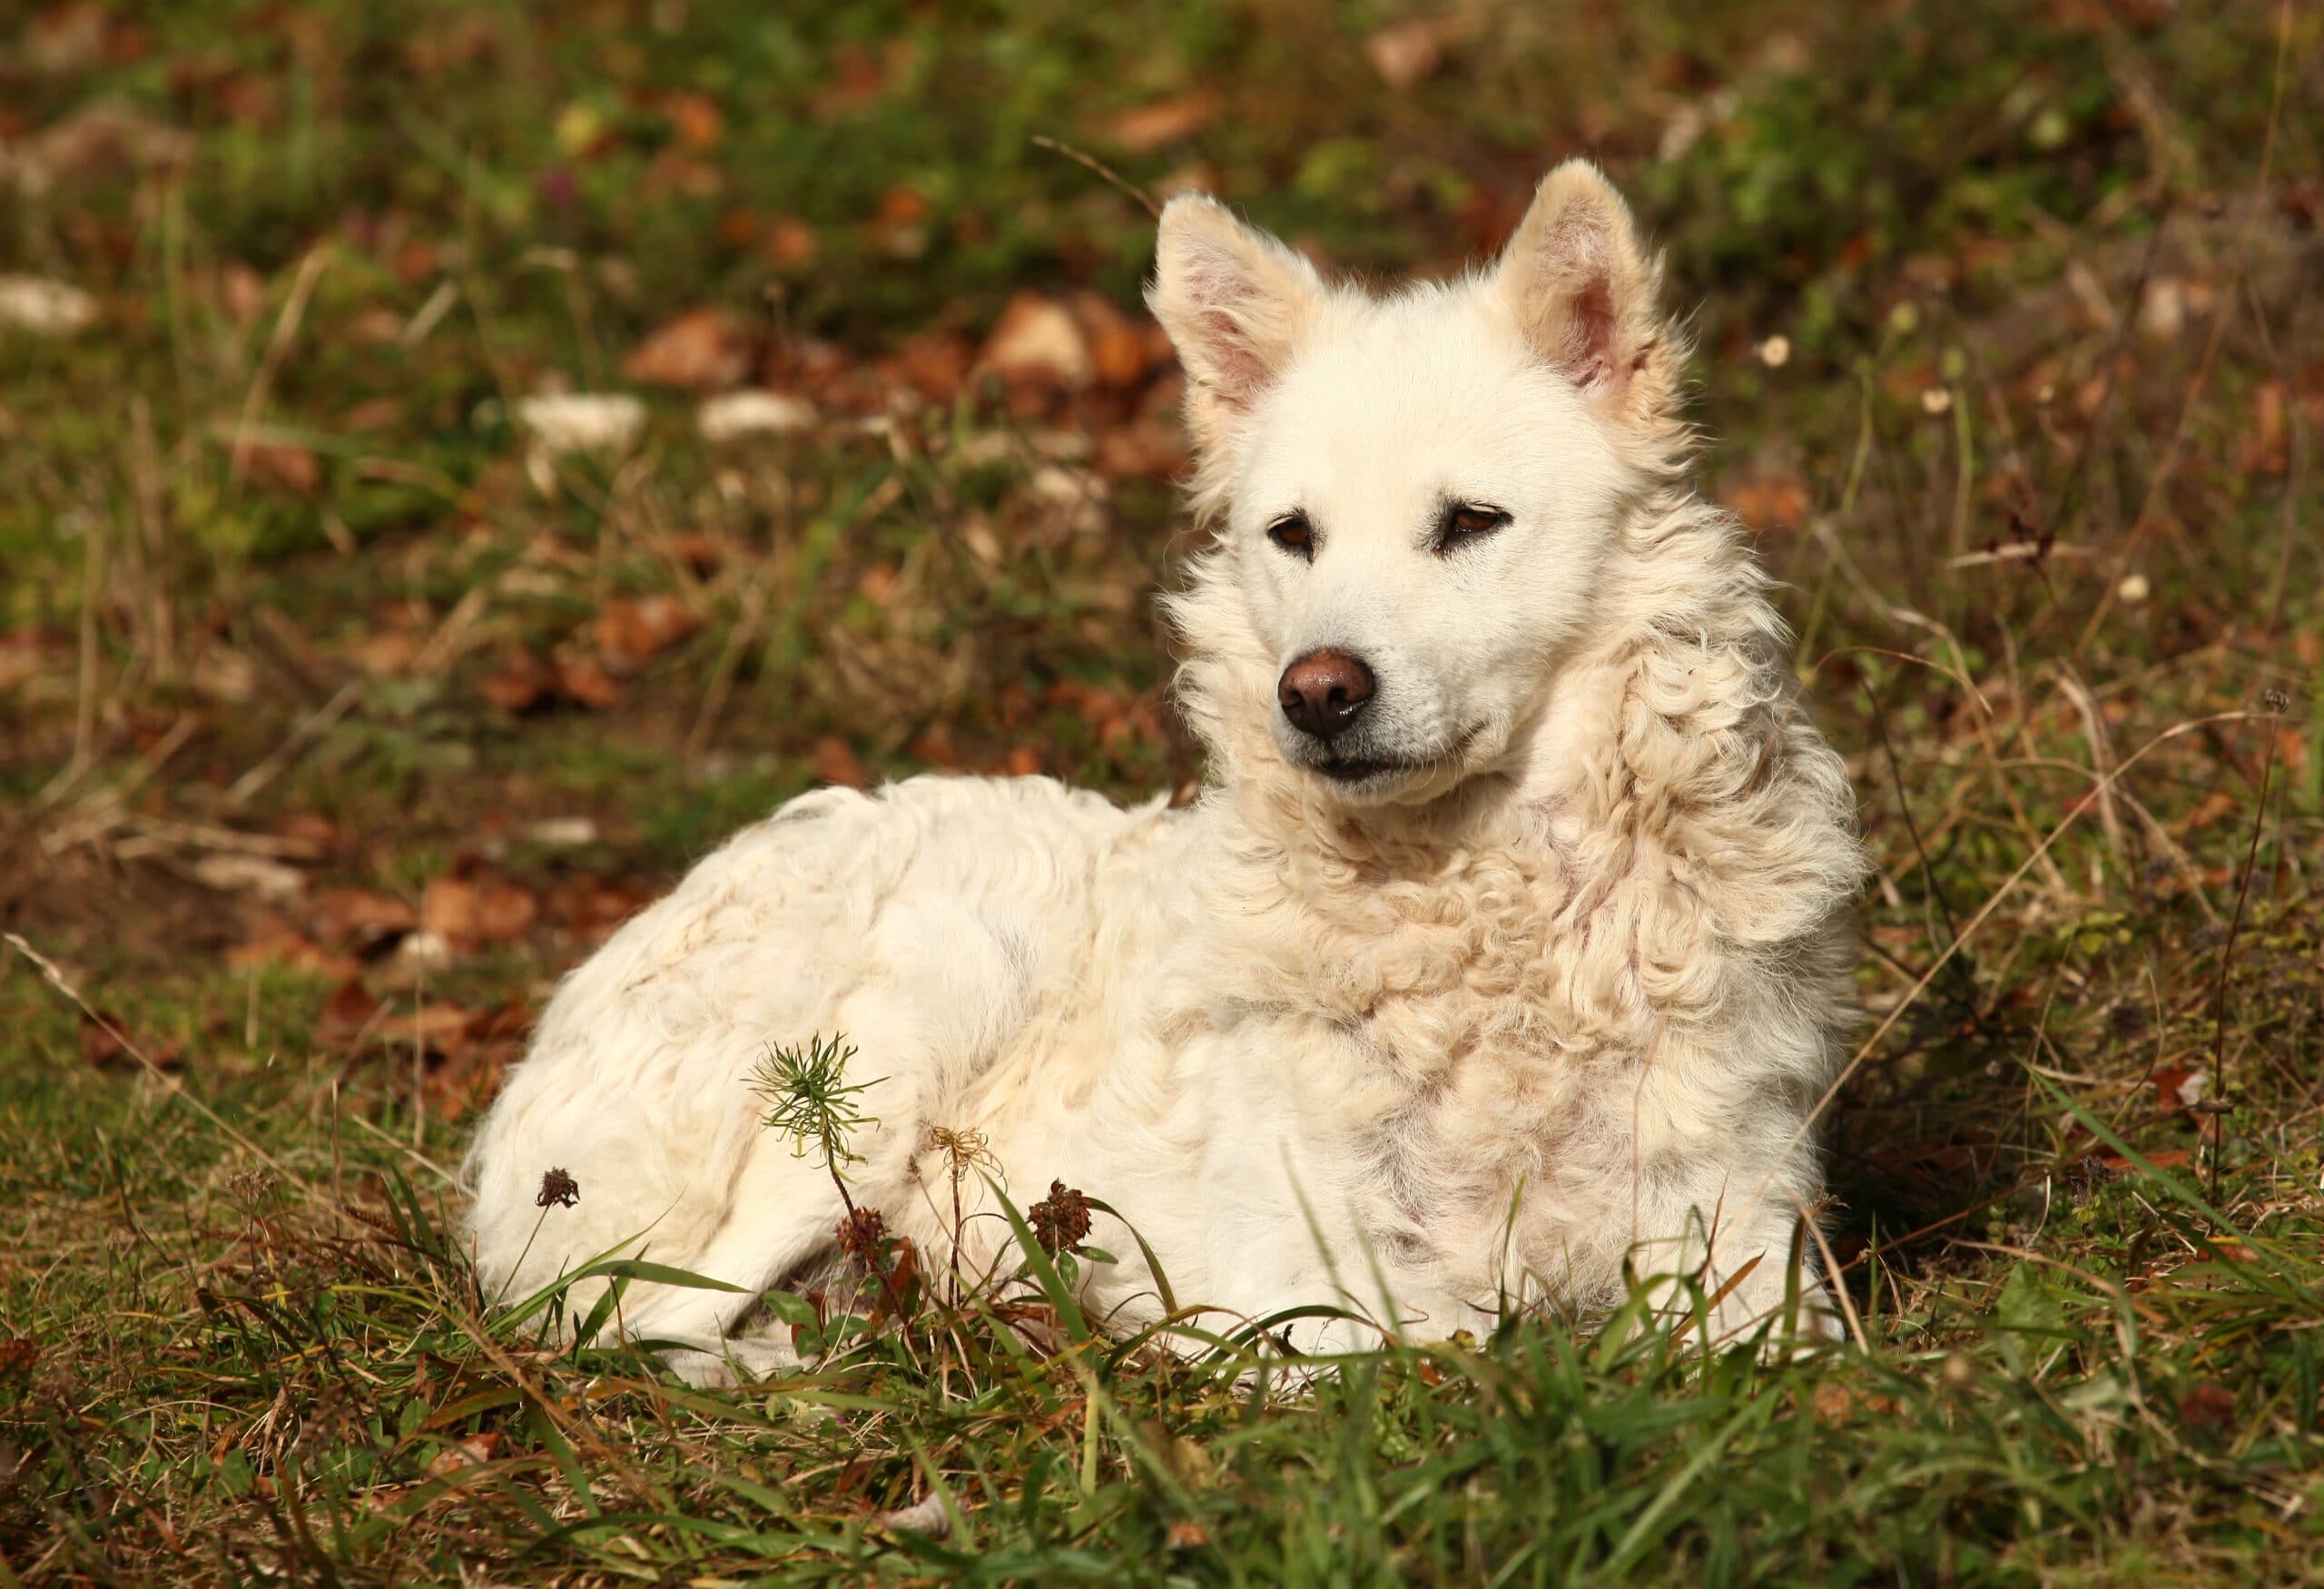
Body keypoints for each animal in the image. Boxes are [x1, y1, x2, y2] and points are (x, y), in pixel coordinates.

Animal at [462, 161, 1859, 1375]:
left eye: (1470, 523)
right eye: (1292, 534)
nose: (1318, 693)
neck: (1494, 907)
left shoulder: (1741, 1244)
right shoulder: (1305, 1288)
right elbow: (1443, 1358)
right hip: (920, 1005)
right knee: (634, 1326)